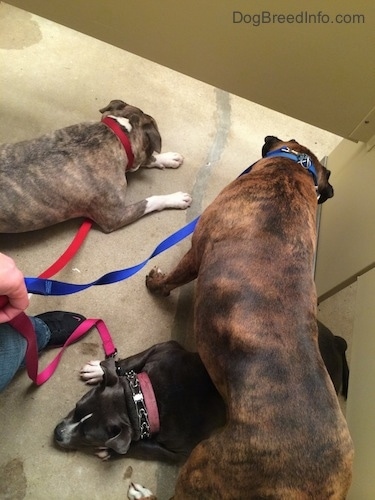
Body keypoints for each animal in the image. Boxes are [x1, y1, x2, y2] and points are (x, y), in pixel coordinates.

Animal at [0, 101, 192, 234]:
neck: (115, 135)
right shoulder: (114, 216)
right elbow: (151, 200)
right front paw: (175, 198)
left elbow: (148, 160)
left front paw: (167, 158)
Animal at [54, 320, 352, 464]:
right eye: (77, 407)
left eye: (88, 437)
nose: (57, 433)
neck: (144, 402)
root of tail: (338, 346)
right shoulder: (162, 349)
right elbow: (128, 363)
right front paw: (100, 370)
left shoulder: (180, 452)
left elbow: (144, 448)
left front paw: (113, 451)